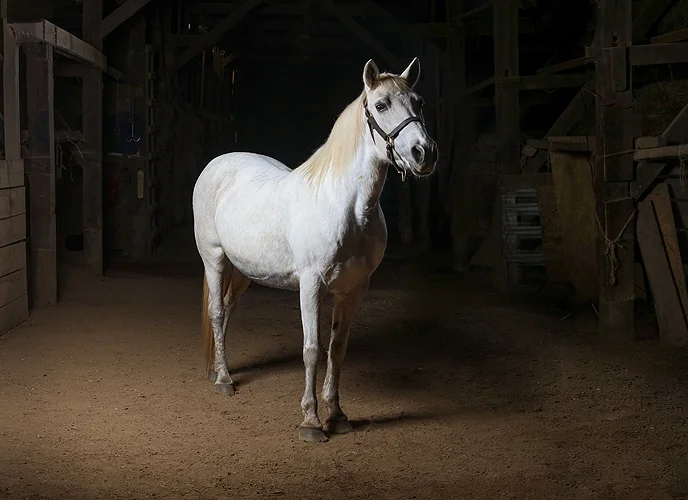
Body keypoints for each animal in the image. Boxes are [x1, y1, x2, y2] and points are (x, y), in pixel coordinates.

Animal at [192, 57, 438, 443]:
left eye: (420, 102)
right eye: (381, 105)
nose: (423, 153)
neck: (347, 206)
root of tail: (216, 163)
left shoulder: (354, 289)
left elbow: (337, 350)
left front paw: (336, 416)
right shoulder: (310, 286)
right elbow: (311, 350)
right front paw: (310, 421)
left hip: (244, 270)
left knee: (228, 309)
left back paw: (221, 368)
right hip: (214, 260)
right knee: (217, 312)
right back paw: (224, 380)